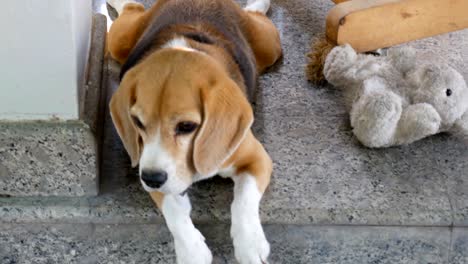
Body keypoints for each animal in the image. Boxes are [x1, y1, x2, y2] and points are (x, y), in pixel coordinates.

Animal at [107, 0, 280, 262]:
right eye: (137, 122)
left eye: (187, 126)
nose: (151, 179)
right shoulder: (154, 174)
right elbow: (173, 210)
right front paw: (192, 250)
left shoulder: (256, 158)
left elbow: (244, 200)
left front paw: (249, 244)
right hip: (118, 40)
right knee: (131, 7)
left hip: (270, 44)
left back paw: (259, 5)